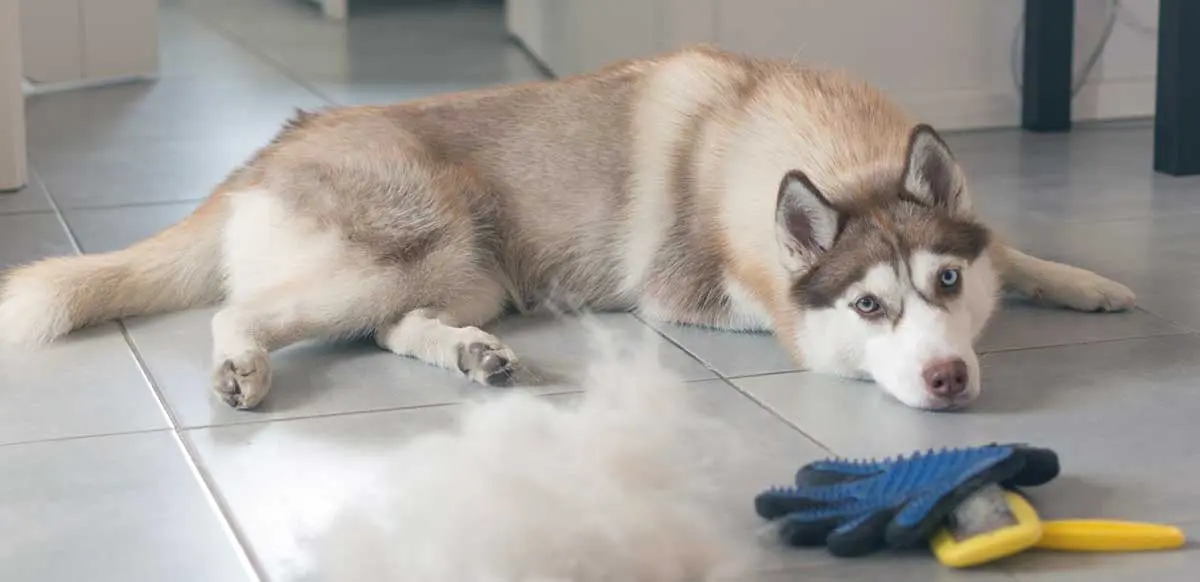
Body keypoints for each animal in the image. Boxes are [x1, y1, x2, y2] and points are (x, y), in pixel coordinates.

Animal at [0, 44, 1132, 408]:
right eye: (868, 305)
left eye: (946, 284)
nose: (949, 379)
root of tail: (261, 154)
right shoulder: (687, 291)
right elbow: (780, 317)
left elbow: (1016, 247)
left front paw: (1088, 283)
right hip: (407, 242)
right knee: (244, 311)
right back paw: (240, 367)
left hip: (468, 270)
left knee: (393, 326)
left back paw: (471, 356)